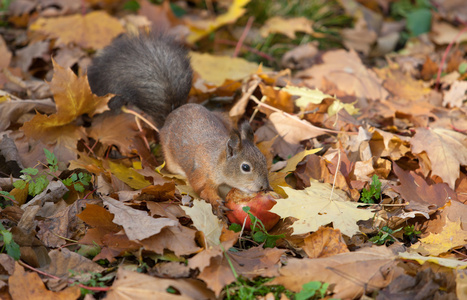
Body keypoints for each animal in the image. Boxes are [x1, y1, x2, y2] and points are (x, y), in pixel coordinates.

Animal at [87, 33, 270, 211]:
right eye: (245, 167)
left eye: (264, 159)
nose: (265, 187)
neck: (217, 160)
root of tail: (173, 112)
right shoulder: (201, 173)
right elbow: (203, 190)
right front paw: (217, 202)